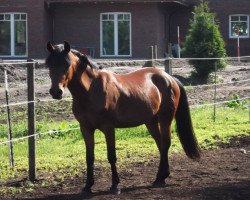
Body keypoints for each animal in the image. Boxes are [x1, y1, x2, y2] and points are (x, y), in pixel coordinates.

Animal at [46, 41, 200, 194]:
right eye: (49, 64)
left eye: (66, 64)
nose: (56, 92)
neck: (91, 90)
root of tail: (170, 78)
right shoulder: (86, 129)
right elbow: (89, 158)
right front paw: (88, 186)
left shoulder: (108, 128)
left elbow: (111, 156)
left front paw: (115, 185)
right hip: (150, 122)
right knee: (161, 144)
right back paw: (160, 177)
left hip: (165, 119)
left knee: (166, 143)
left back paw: (160, 178)